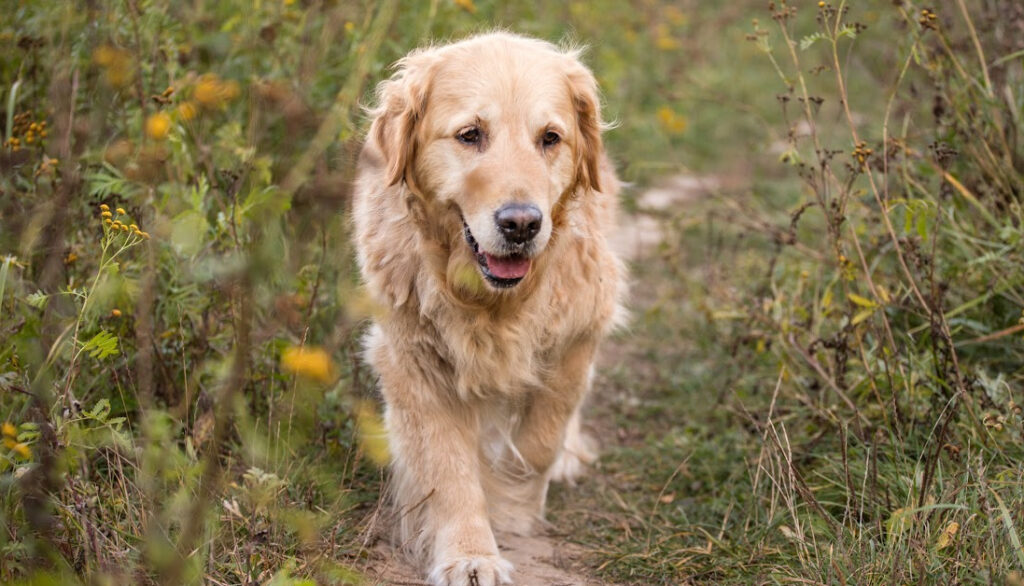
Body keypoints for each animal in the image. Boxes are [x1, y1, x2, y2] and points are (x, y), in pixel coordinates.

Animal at [354, 33, 622, 586]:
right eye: (470, 135)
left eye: (550, 138)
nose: (521, 224)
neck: (491, 303)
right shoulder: (411, 357)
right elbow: (447, 466)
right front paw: (469, 553)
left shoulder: (578, 334)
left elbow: (538, 442)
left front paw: (509, 506)